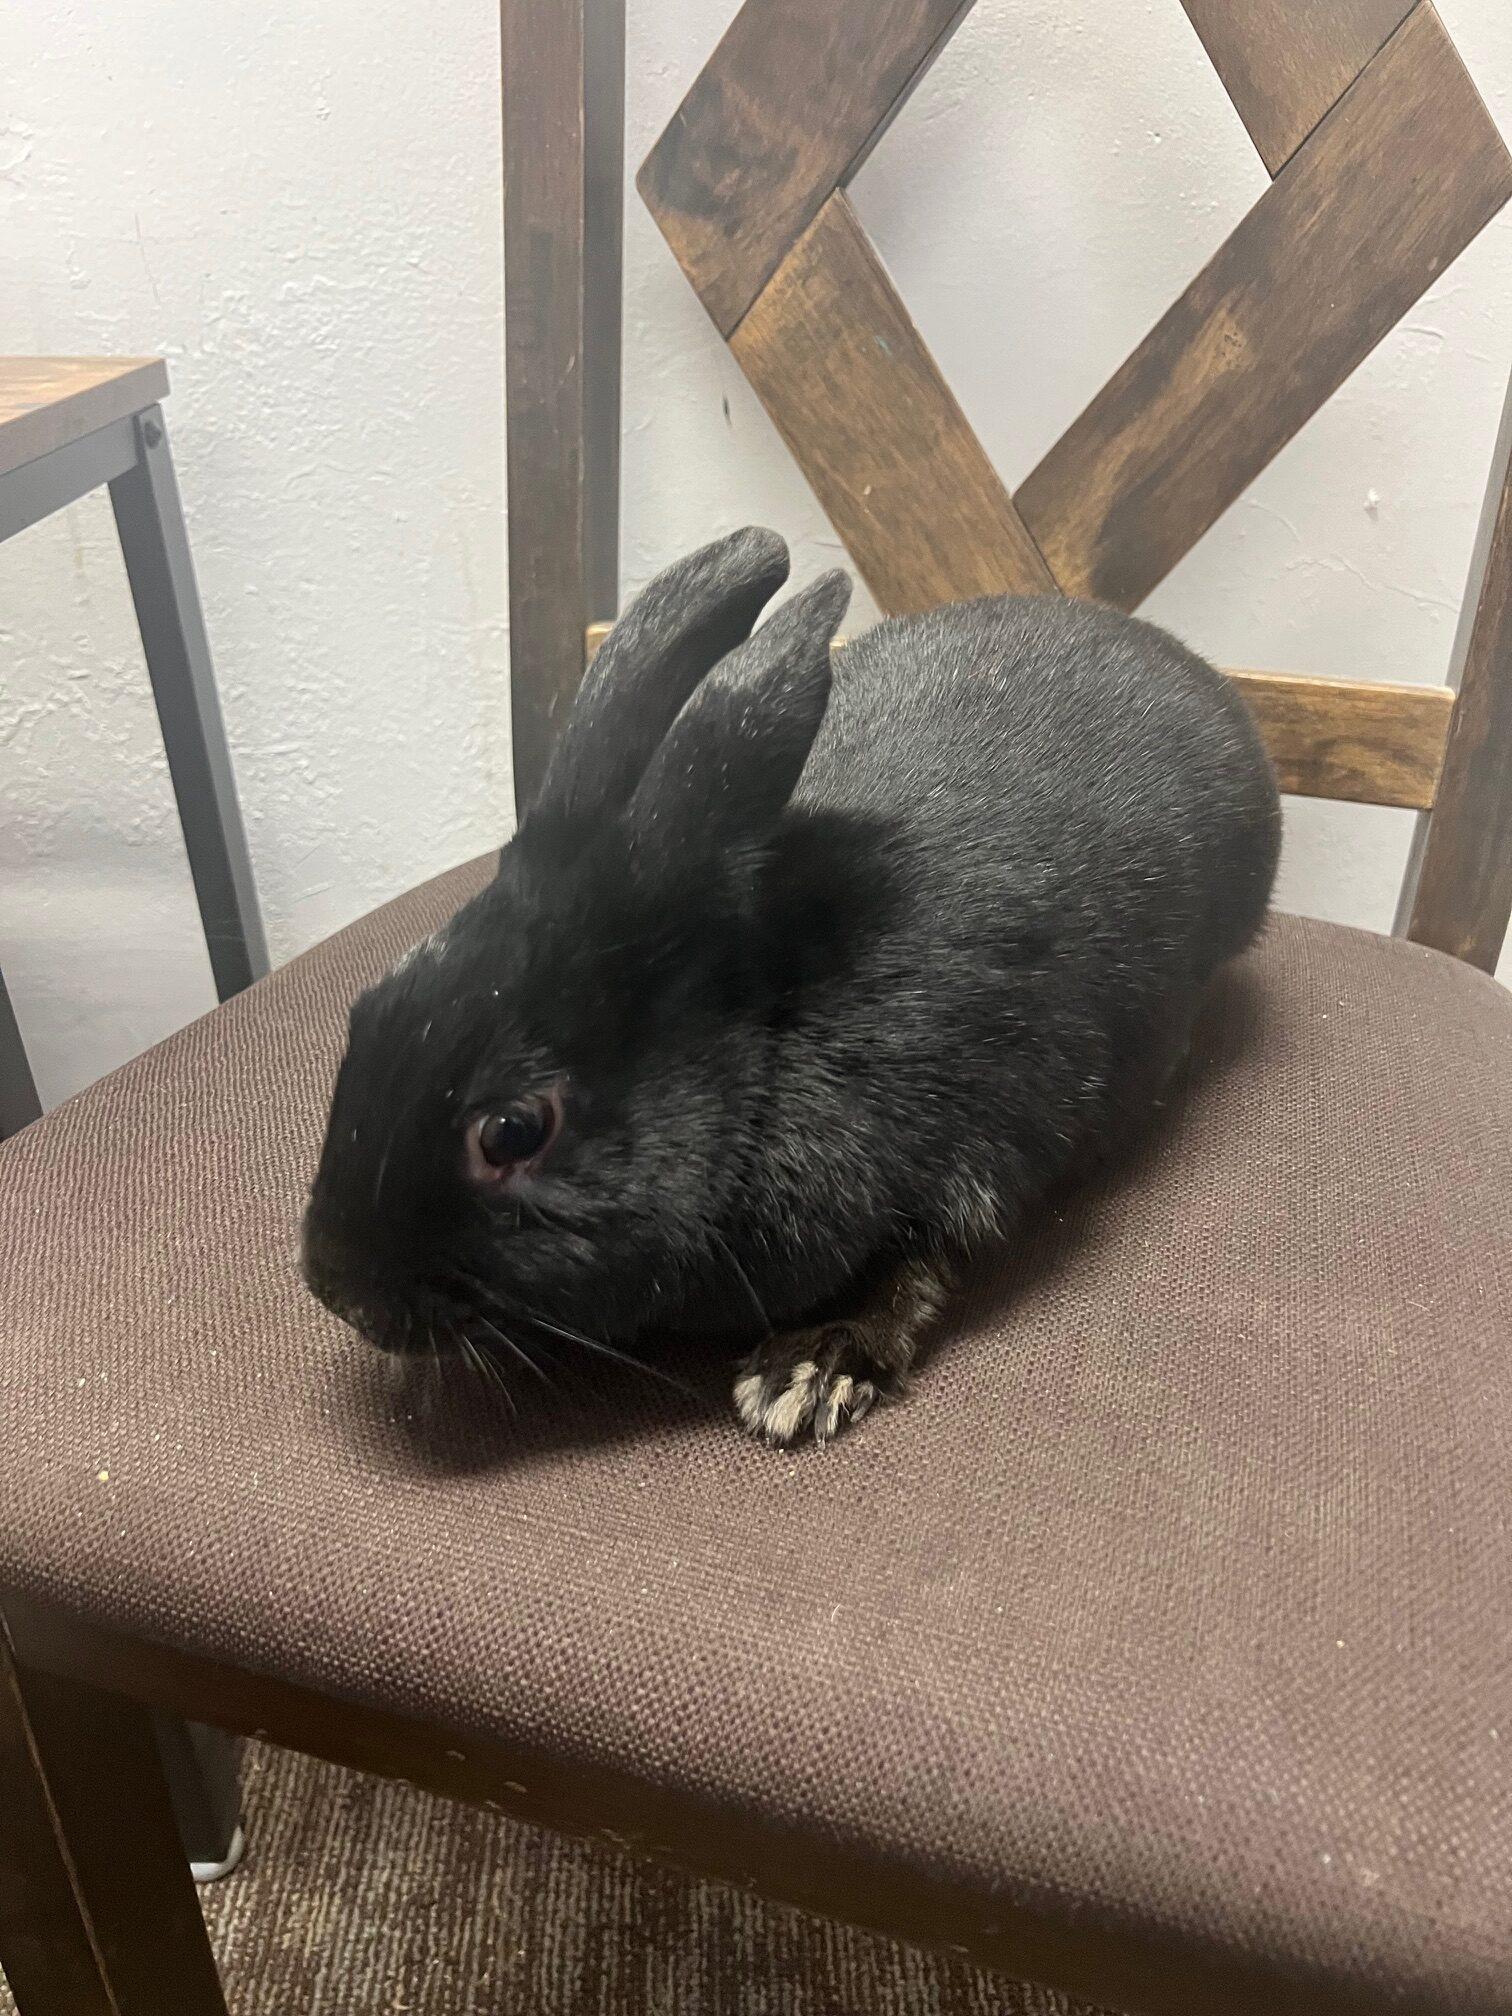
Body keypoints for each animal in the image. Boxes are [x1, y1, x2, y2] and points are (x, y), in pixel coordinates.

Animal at [302, 525, 1280, 1445]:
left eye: (510, 1131)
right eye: (371, 1006)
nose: (334, 1287)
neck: (768, 1033)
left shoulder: (988, 1138)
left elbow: (922, 1269)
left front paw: (804, 1373)